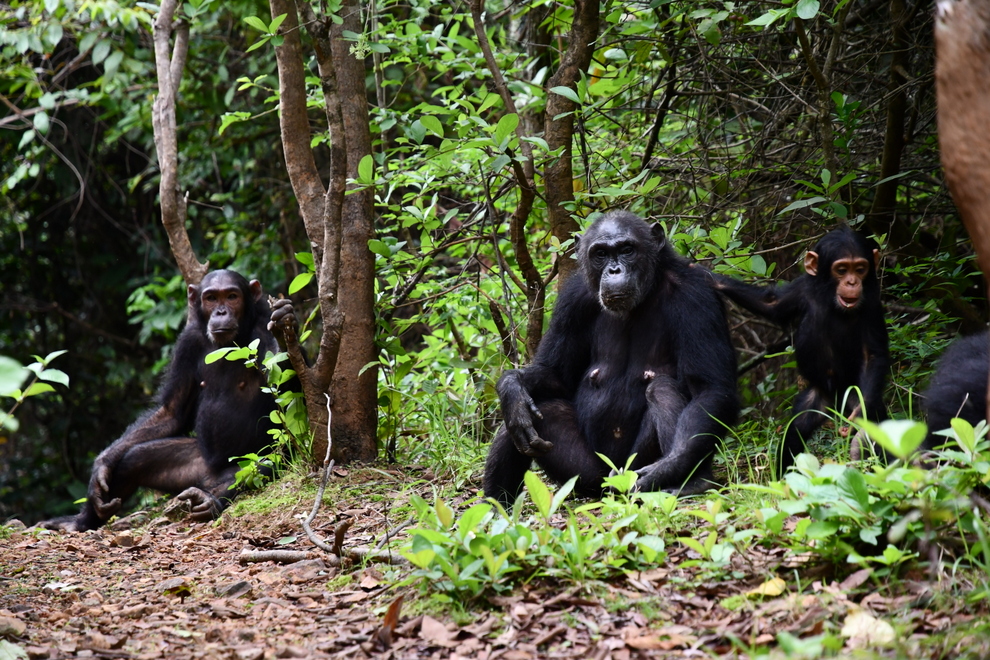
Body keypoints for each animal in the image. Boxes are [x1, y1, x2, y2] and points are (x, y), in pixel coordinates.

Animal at [42, 268, 290, 532]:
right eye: (211, 298)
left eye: (232, 296)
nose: (221, 312)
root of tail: (208, 477)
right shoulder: (187, 342)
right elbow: (172, 411)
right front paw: (102, 464)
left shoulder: (262, 327)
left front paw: (285, 325)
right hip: (192, 467)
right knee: (135, 458)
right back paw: (80, 521)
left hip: (240, 462)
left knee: (263, 462)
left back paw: (209, 499)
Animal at [484, 209, 740, 508]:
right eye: (601, 254)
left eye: (627, 250)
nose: (614, 270)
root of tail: (612, 485)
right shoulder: (572, 300)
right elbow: (555, 374)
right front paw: (511, 387)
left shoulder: (696, 294)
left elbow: (709, 388)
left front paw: (670, 467)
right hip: (589, 476)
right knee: (524, 417)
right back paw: (493, 506)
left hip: (629, 469)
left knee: (662, 389)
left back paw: (694, 482)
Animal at [712, 228, 892, 474]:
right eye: (842, 269)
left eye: (860, 269)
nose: (852, 281)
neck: (830, 298)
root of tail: (836, 399)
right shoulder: (801, 288)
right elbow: (771, 303)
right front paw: (713, 280)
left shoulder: (872, 302)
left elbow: (873, 354)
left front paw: (859, 416)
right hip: (817, 396)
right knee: (795, 430)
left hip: (852, 391)